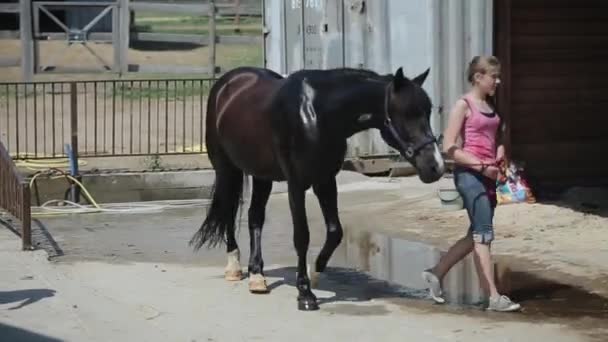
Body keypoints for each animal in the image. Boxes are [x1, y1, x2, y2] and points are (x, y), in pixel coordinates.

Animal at [191, 65, 446, 312]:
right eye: (406, 113)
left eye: (428, 112)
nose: (436, 167)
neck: (318, 115)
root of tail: (228, 82)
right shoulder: (296, 185)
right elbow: (302, 236)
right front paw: (305, 294)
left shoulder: (325, 181)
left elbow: (335, 231)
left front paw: (315, 271)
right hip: (226, 168)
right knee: (229, 211)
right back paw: (234, 266)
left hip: (261, 174)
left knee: (255, 217)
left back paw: (256, 276)